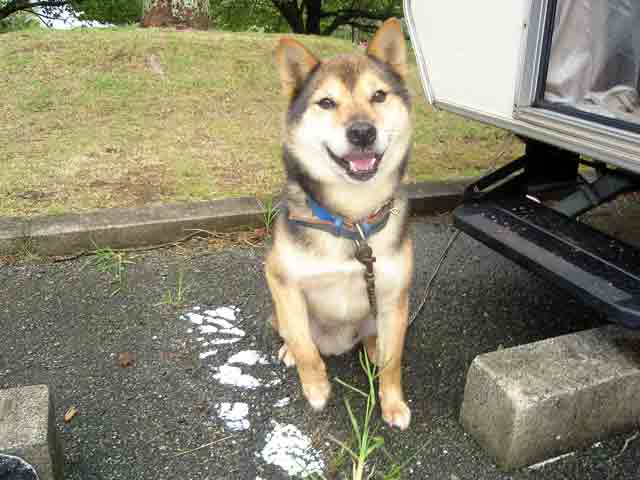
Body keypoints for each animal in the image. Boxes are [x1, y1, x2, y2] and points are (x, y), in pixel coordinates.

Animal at [266, 18, 413, 430]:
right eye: (327, 103)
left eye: (378, 96)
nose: (362, 132)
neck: (352, 219)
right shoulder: (280, 279)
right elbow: (304, 346)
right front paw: (316, 388)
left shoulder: (395, 297)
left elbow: (394, 361)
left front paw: (392, 403)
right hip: (281, 309)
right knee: (295, 334)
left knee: (375, 342)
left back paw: (373, 348)